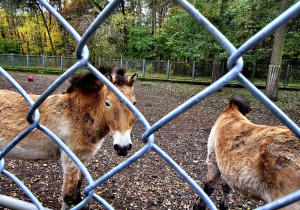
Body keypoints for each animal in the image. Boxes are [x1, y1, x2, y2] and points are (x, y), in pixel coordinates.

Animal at [0, 66, 138, 209]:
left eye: (134, 103)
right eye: (107, 103)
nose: (123, 147)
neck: (79, 114)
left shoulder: (83, 159)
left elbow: (78, 189)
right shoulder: (70, 161)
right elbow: (68, 197)